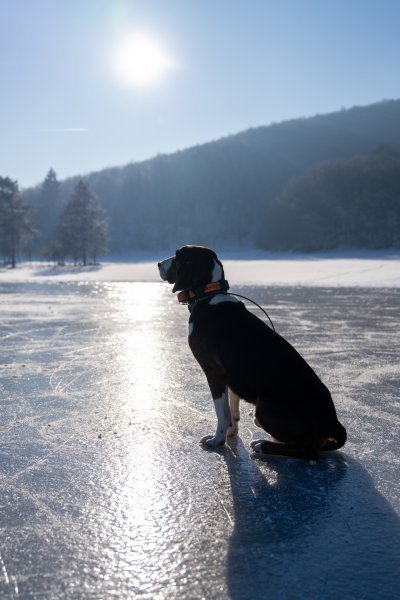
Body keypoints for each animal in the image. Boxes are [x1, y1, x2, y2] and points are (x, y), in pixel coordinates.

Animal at [158, 245, 346, 460]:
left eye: (177, 255)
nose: (158, 264)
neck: (208, 295)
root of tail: (333, 422)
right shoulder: (229, 376)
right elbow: (232, 409)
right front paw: (231, 433)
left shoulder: (214, 372)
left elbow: (221, 412)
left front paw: (217, 440)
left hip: (264, 406)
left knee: (309, 451)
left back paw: (263, 445)